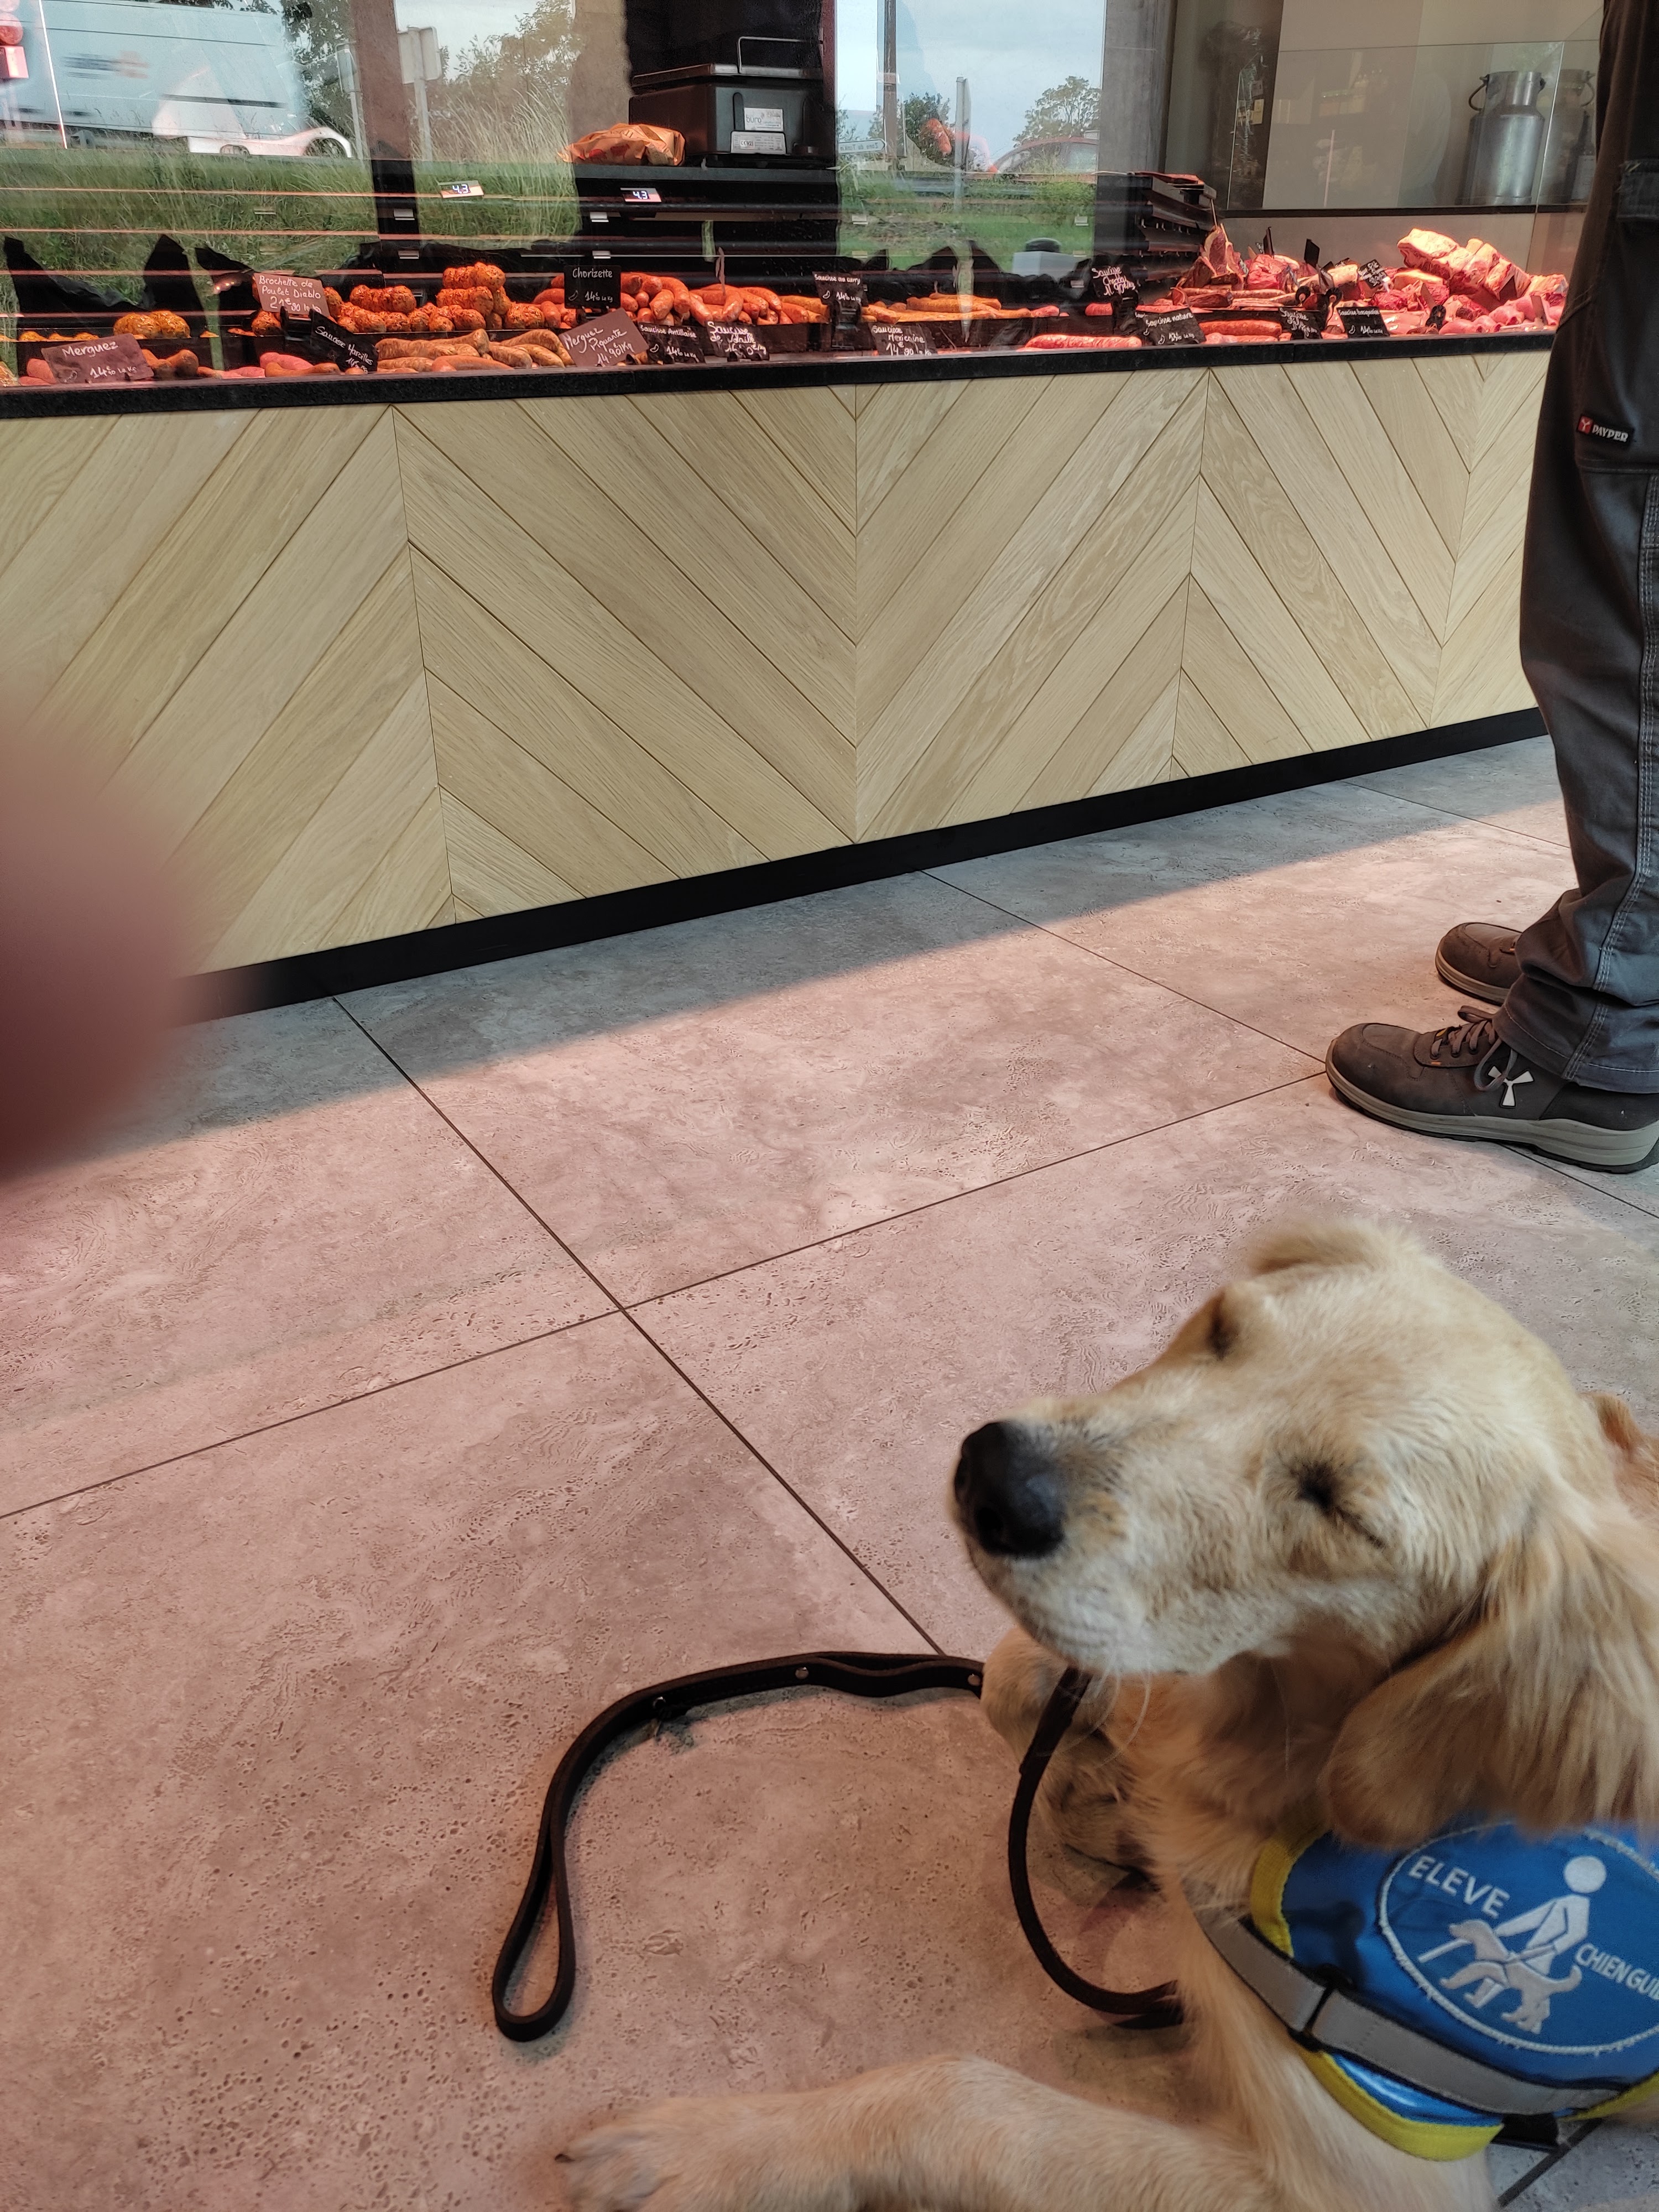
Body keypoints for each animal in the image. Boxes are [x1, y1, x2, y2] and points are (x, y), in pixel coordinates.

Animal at [563, 1219, 1659, 2212]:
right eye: (1220, 1329)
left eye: (1341, 1509)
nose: (994, 1477)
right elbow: (1013, 1679)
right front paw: (1099, 1797)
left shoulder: (1366, 2167)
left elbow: (965, 2098)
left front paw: (710, 2149)